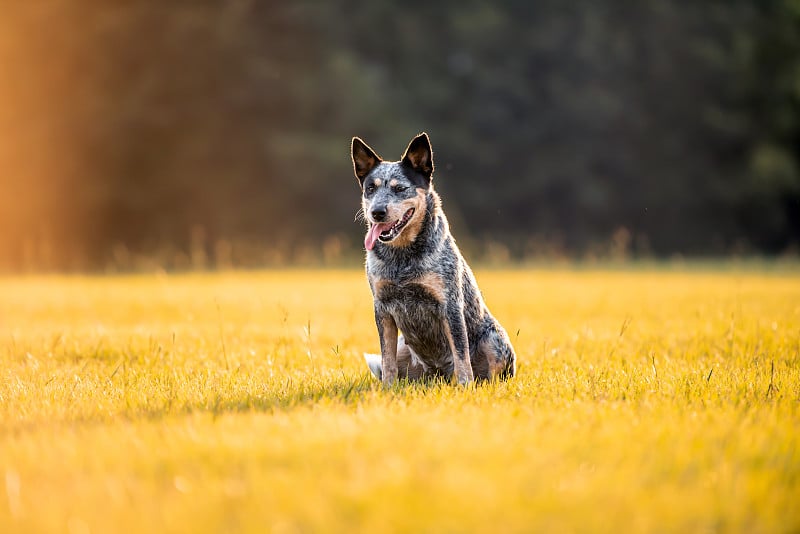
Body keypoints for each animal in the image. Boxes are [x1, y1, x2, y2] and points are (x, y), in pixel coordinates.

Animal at [352, 133, 520, 386]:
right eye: (370, 188)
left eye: (400, 188)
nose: (377, 212)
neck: (402, 258)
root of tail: (438, 374)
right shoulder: (382, 308)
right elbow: (387, 358)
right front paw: (387, 389)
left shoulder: (450, 305)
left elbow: (461, 354)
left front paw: (465, 387)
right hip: (404, 348)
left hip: (494, 340)